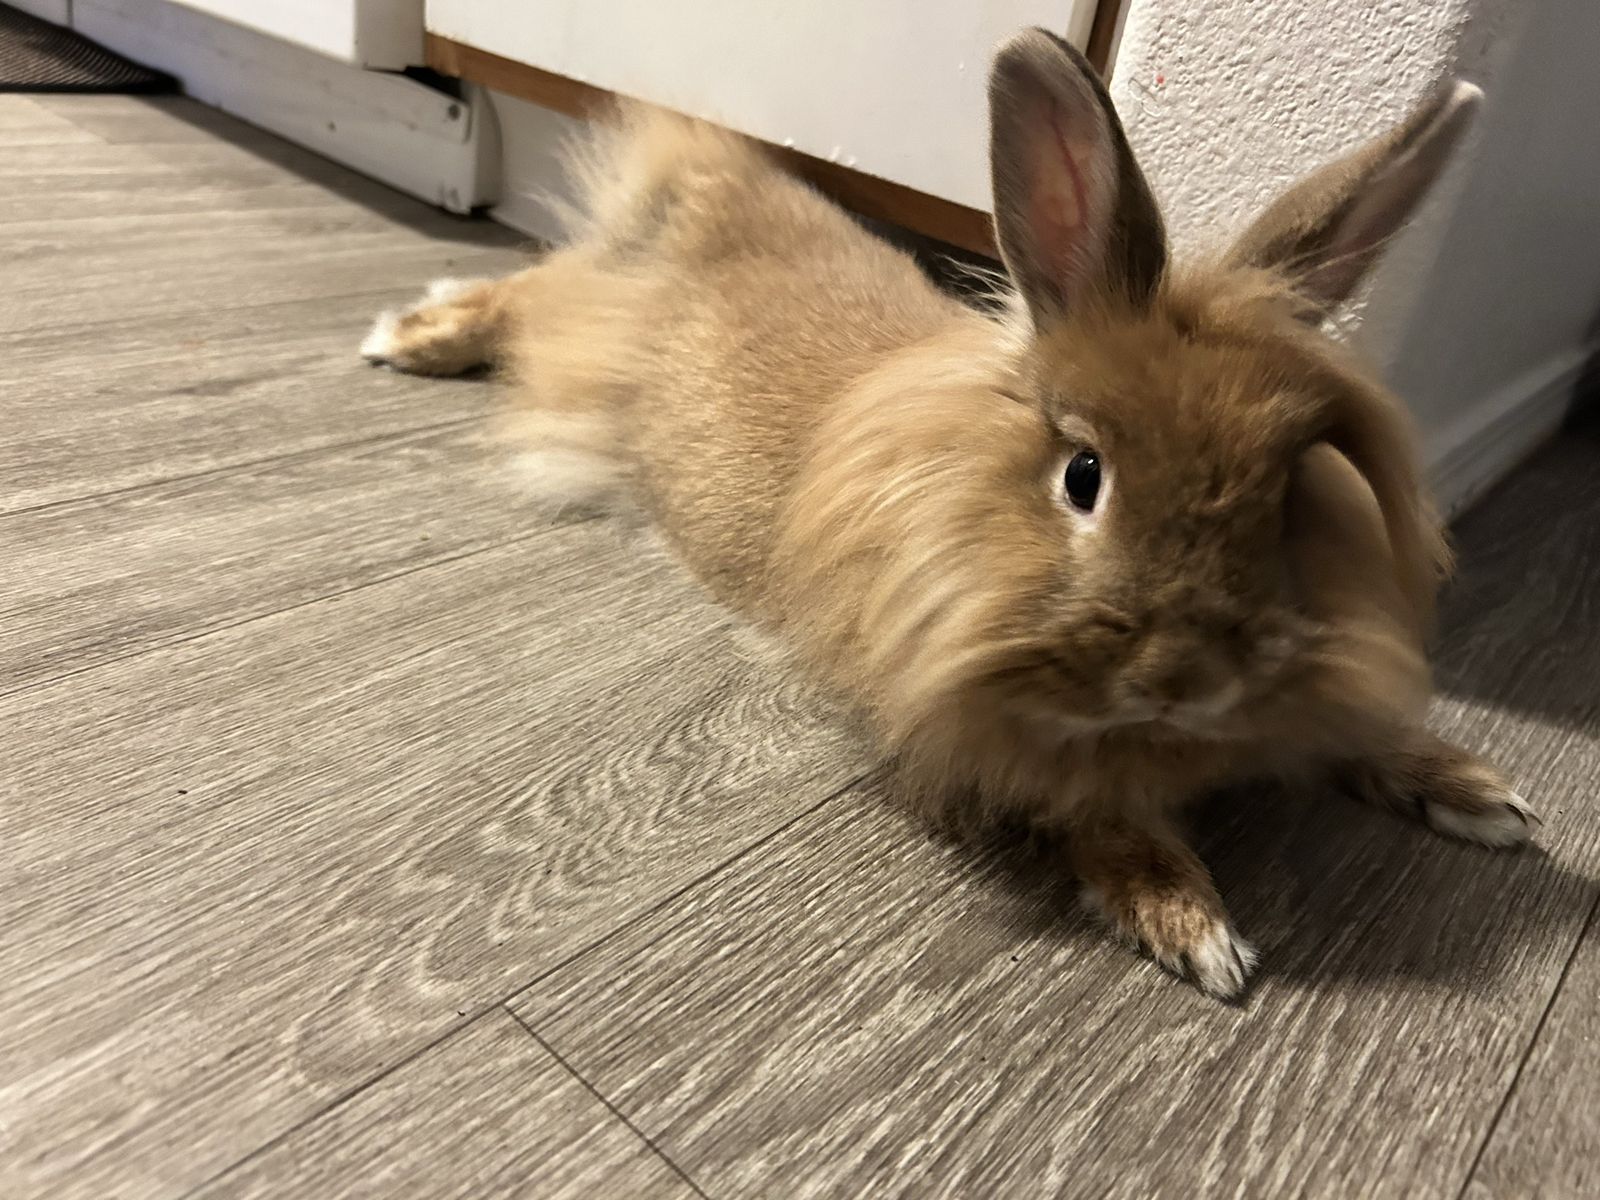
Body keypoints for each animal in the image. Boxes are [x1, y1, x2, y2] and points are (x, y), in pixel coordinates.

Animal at [361, 29, 1537, 999]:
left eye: (1283, 494)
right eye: (1083, 476)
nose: (1188, 680)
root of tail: (728, 200)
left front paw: (1481, 795)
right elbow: (1091, 807)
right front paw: (1190, 924)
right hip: (587, 344)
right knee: (530, 294)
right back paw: (407, 337)